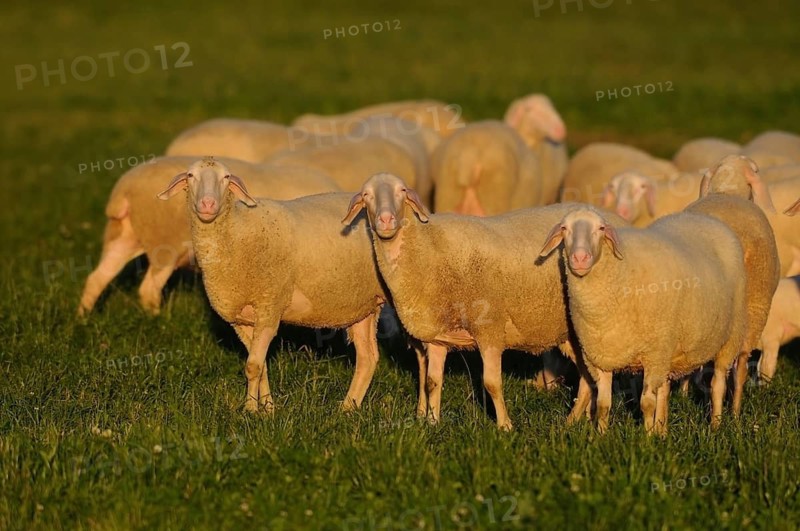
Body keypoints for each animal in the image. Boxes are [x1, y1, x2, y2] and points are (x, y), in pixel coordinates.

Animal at [78, 156, 340, 316]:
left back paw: (83, 317)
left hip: (123, 237)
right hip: (164, 244)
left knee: (96, 278)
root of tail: (124, 191)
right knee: (148, 288)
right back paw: (156, 319)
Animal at [157, 158, 390, 413]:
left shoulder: (269, 306)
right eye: (191, 176)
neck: (236, 231)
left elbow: (253, 366)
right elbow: (259, 366)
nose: (208, 204)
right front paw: (267, 409)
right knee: (368, 358)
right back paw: (347, 409)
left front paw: (250, 410)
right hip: (363, 305)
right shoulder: (243, 320)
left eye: (226, 177)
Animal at [341, 173, 614, 431]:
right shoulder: (438, 337)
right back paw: (572, 421)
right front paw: (432, 422)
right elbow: (432, 381)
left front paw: (505, 426)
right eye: (366, 195)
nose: (386, 220)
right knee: (588, 379)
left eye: (402, 191)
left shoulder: (489, 330)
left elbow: (491, 383)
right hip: (573, 336)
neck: (429, 248)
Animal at [538, 207, 747, 434]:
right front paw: (601, 435)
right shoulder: (601, 356)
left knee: (717, 383)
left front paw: (647, 437)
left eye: (601, 228)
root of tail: (705, 219)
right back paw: (662, 430)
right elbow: (603, 404)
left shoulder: (653, 354)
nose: (580, 258)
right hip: (667, 349)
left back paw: (715, 425)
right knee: (664, 389)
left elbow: (646, 403)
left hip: (729, 336)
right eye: (564, 228)